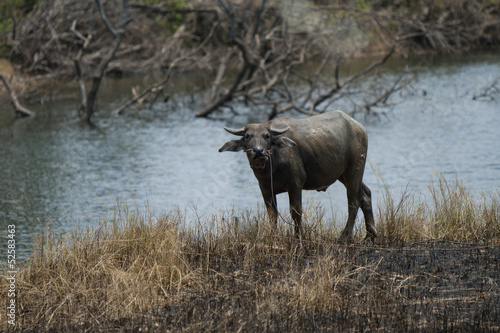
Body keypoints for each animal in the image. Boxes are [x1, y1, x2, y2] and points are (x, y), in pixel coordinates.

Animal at [217, 110, 376, 240]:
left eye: (267, 136)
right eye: (247, 136)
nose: (258, 151)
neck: (272, 168)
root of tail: (359, 127)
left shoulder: (295, 184)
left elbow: (296, 211)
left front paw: (299, 237)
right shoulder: (265, 189)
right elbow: (272, 214)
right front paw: (273, 236)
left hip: (354, 169)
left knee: (354, 200)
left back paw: (345, 236)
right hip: (343, 175)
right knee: (365, 194)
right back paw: (370, 234)